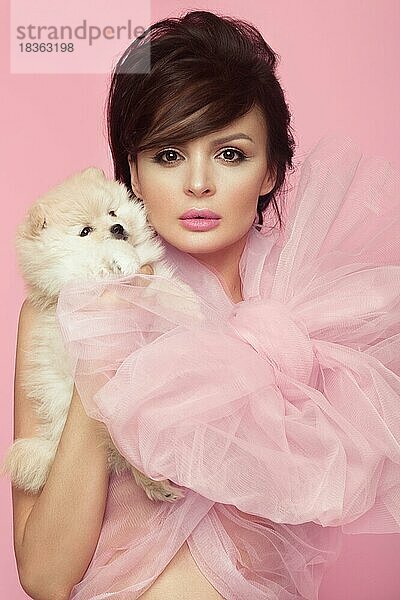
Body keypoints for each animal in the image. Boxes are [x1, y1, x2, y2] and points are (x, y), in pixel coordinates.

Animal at [0, 166, 197, 504]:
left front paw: (191, 305)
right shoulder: (75, 279)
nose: (117, 228)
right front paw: (121, 256)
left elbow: (167, 286)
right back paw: (156, 483)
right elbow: (101, 256)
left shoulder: (153, 272)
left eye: (112, 212)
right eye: (85, 231)